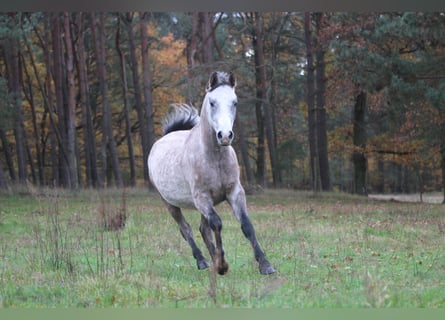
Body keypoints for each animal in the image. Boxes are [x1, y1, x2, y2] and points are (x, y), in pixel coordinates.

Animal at [147, 70, 274, 276]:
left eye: (234, 102)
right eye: (212, 102)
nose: (225, 136)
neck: (215, 159)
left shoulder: (234, 192)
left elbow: (246, 226)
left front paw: (265, 264)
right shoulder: (202, 197)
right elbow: (217, 224)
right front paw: (222, 264)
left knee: (203, 229)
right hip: (170, 203)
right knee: (186, 229)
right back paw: (203, 261)